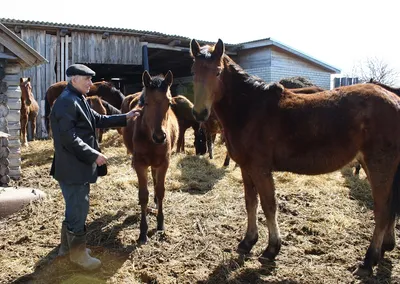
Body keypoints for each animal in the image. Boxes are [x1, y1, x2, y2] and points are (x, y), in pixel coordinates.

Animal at [122, 70, 178, 243]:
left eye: (169, 103)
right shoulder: (140, 164)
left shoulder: (164, 163)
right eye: (146, 103)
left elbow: (160, 191)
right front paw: (143, 231)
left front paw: (160, 224)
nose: (160, 137)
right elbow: (143, 194)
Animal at [189, 38, 400, 276]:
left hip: (379, 166)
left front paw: (272, 249)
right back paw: (384, 248)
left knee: (382, 210)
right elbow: (251, 203)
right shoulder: (246, 168)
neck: (250, 109)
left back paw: (368, 260)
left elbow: (269, 206)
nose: (200, 113)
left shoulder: (261, 169)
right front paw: (247, 242)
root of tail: (394, 99)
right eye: (193, 71)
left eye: (217, 72)